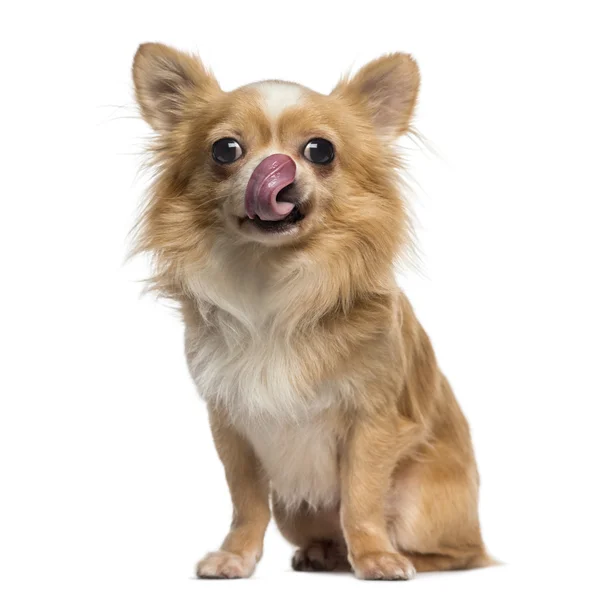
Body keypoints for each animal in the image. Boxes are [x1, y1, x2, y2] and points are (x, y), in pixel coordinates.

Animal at [132, 41, 492, 576]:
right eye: (225, 150)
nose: (276, 166)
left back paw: (394, 555)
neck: (274, 283)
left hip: (422, 504)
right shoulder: (233, 426)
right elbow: (246, 503)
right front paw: (236, 556)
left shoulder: (372, 421)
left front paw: (375, 558)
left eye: (320, 151)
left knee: (459, 553)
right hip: (295, 511)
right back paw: (324, 553)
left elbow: (361, 499)